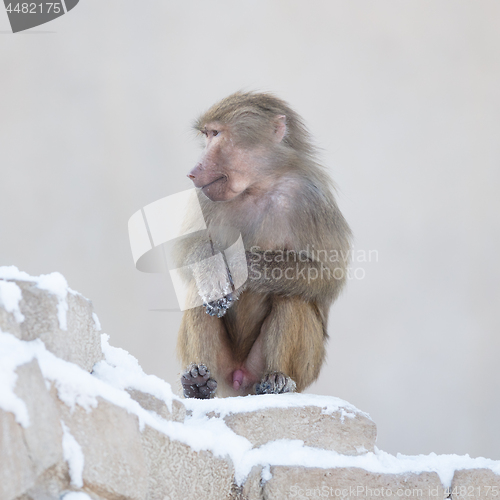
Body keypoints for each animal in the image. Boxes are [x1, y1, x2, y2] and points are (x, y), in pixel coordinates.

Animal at [176, 91, 352, 398]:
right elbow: (186, 252)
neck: (257, 186)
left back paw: (278, 379)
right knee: (197, 291)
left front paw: (244, 266)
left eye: (216, 134)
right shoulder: (204, 197)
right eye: (207, 135)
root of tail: (238, 384)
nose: (193, 172)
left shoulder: (311, 199)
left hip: (300, 369)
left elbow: (330, 276)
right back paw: (198, 383)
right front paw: (215, 273)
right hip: (223, 369)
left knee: (292, 295)